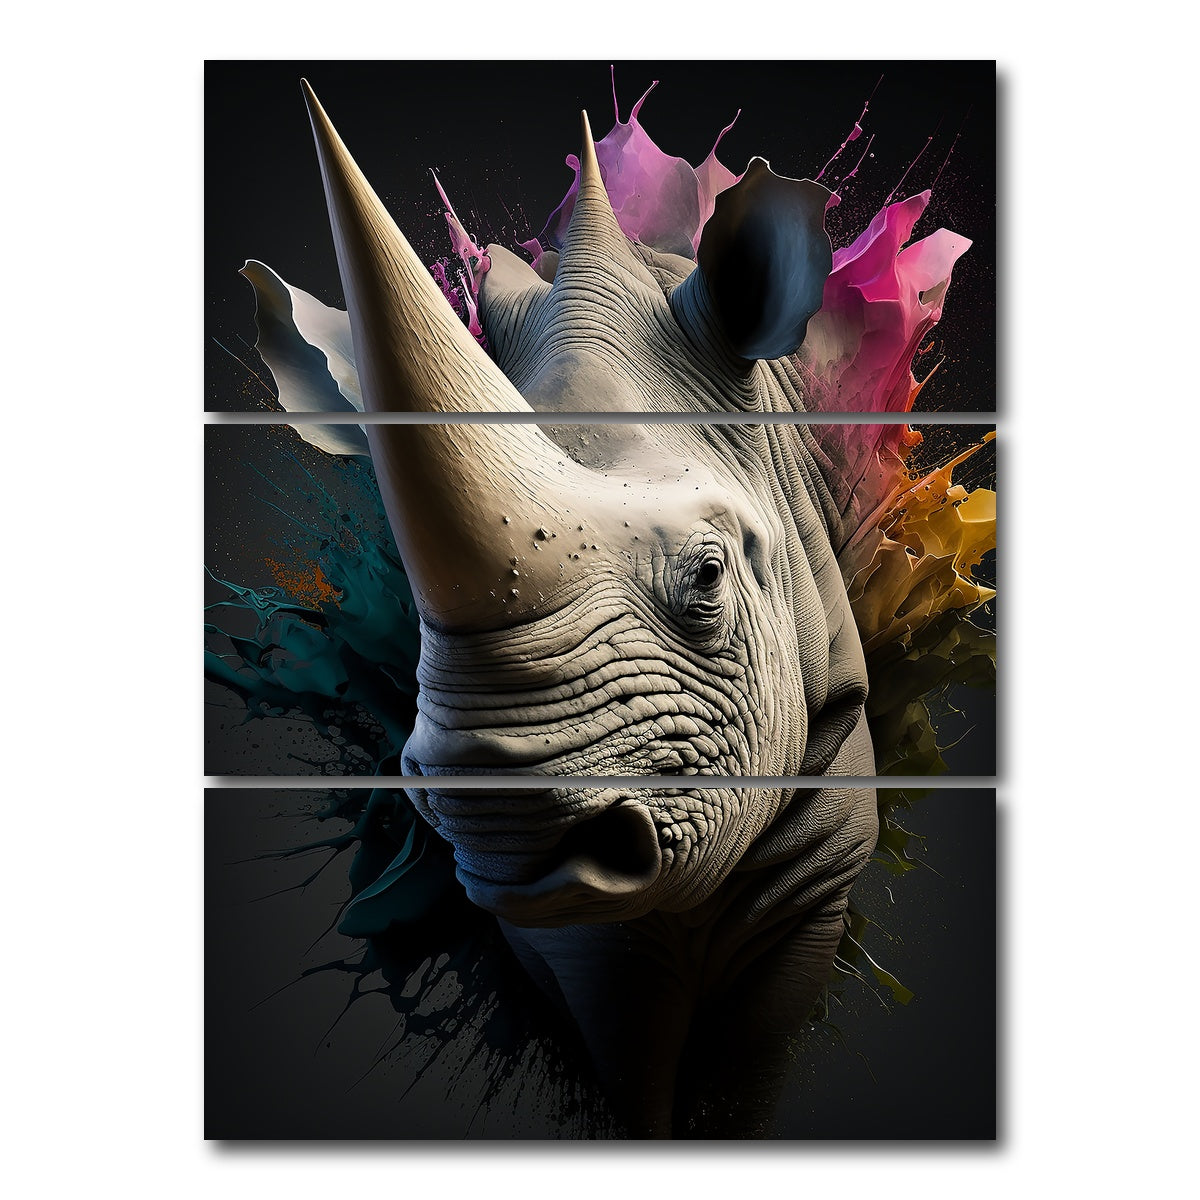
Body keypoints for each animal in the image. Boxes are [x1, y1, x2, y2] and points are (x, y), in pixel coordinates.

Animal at [292, 81, 880, 1138]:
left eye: (709, 577)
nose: (507, 829)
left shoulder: (819, 870)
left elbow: (751, 1066)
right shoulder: (567, 934)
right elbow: (626, 1049)